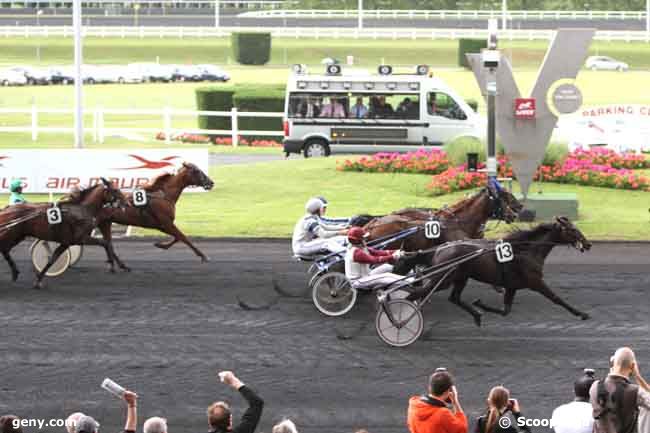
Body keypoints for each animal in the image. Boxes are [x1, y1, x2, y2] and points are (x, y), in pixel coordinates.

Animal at [412, 218, 588, 326]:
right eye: (573, 229)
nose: (588, 244)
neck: (527, 250)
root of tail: (440, 249)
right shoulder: (535, 282)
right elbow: (557, 298)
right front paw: (581, 313)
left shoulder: (512, 286)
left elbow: (505, 311)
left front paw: (480, 305)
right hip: (443, 279)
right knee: (417, 293)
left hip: (460, 277)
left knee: (454, 298)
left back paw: (476, 316)